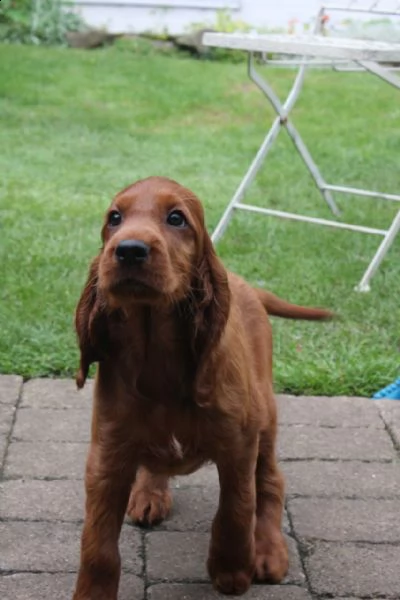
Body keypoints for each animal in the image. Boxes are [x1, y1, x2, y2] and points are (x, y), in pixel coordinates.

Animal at [72, 176, 332, 596]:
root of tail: (247, 287)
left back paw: (268, 550)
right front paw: (91, 594)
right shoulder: (106, 455)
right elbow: (98, 546)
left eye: (176, 218)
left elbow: (237, 508)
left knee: (271, 481)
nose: (129, 250)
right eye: (114, 218)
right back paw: (149, 492)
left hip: (265, 414)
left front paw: (232, 569)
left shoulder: (239, 444)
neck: (156, 356)